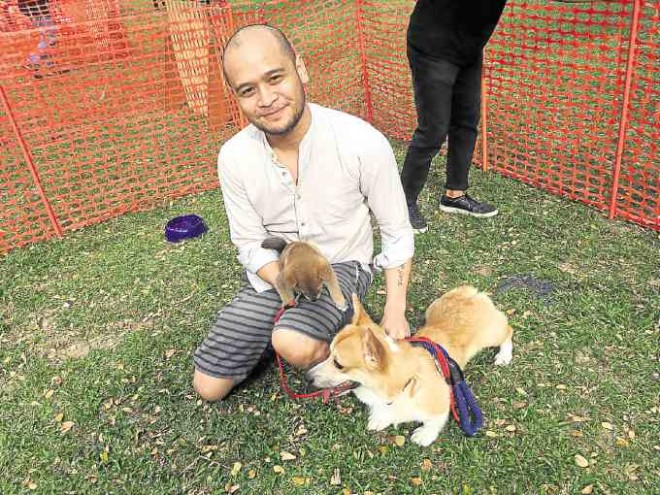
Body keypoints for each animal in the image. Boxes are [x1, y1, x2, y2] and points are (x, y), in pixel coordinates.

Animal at [306, 286, 512, 446]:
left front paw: (424, 435)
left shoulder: (441, 402)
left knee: (508, 331)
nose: (307, 377)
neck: (402, 387)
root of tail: (470, 293)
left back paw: (504, 355)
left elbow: (435, 421)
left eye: (338, 364)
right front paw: (380, 418)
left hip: (490, 335)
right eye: (328, 353)